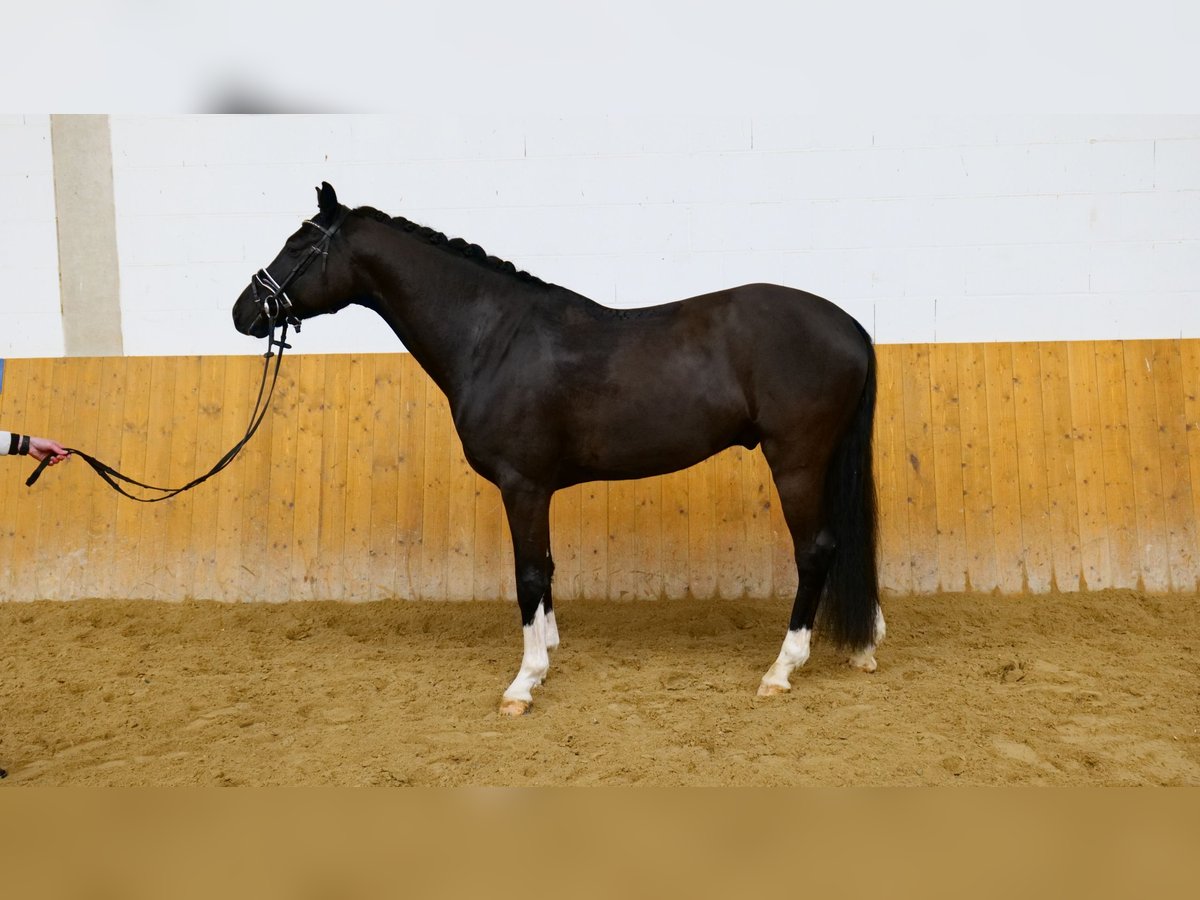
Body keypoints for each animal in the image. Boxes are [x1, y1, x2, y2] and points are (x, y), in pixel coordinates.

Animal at [231, 184, 883, 720]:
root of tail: (850, 325)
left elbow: (527, 573)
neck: (493, 339)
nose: (244, 311)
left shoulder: (521, 484)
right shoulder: (537, 488)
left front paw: (524, 682)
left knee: (815, 549)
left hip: (796, 461)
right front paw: (545, 654)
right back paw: (864, 647)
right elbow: (544, 569)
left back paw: (782, 669)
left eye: (297, 245)